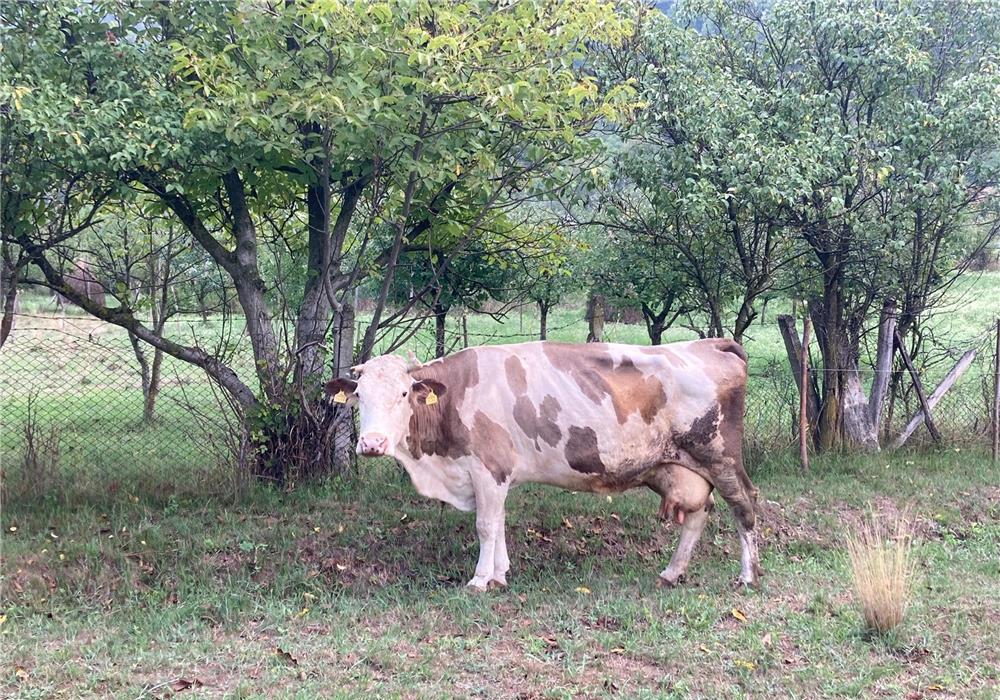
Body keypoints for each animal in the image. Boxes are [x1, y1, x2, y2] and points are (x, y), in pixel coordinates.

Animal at [326, 339, 761, 591]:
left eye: (403, 394)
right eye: (359, 396)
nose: (372, 443)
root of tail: (710, 342)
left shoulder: (488, 467)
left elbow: (485, 525)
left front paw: (480, 579)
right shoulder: (497, 475)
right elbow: (499, 522)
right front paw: (500, 573)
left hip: (720, 455)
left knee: (744, 506)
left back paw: (747, 575)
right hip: (677, 466)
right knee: (699, 512)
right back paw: (673, 571)